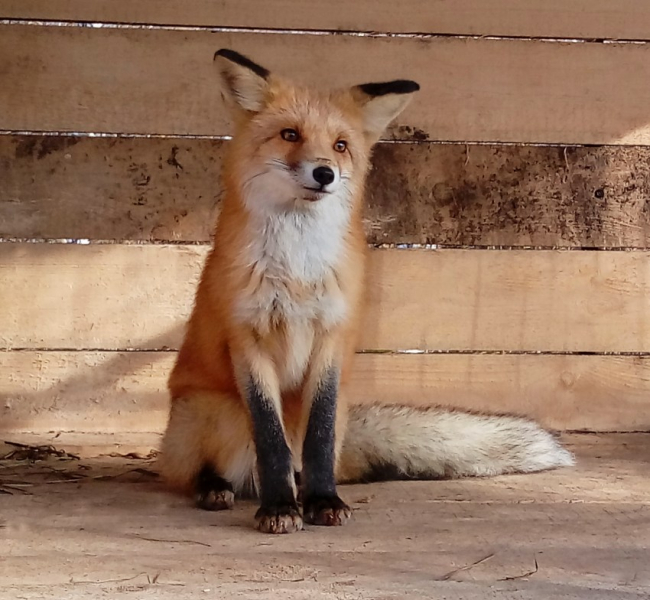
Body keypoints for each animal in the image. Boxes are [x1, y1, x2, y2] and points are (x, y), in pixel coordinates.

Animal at [158, 48, 572, 536]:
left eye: (340, 145)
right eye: (290, 135)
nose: (324, 173)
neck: (297, 270)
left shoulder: (333, 337)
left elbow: (317, 439)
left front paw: (322, 501)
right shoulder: (247, 340)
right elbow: (271, 441)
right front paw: (279, 508)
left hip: (330, 414)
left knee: (311, 454)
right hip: (214, 413)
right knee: (201, 469)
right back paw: (217, 489)